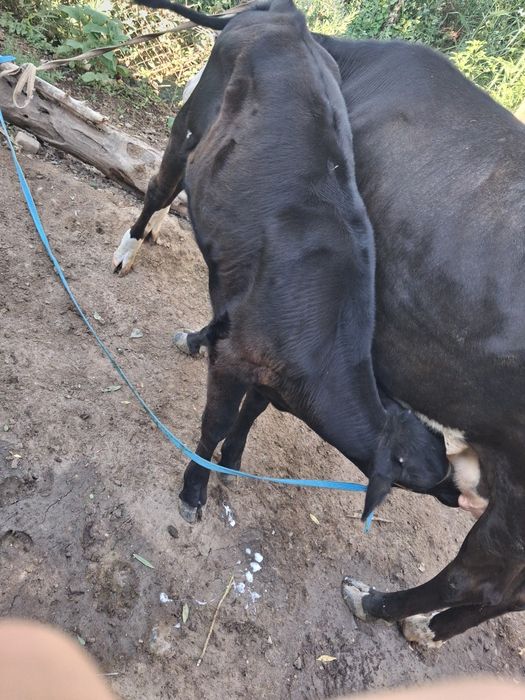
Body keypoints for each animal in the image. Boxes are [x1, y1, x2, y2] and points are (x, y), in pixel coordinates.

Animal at [113, 1, 525, 645]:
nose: (455, 493)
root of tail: (288, 16)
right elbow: (229, 409)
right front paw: (210, 473)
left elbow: (242, 397)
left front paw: (221, 464)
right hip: (190, 124)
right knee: (160, 185)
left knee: (480, 582)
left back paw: (385, 607)